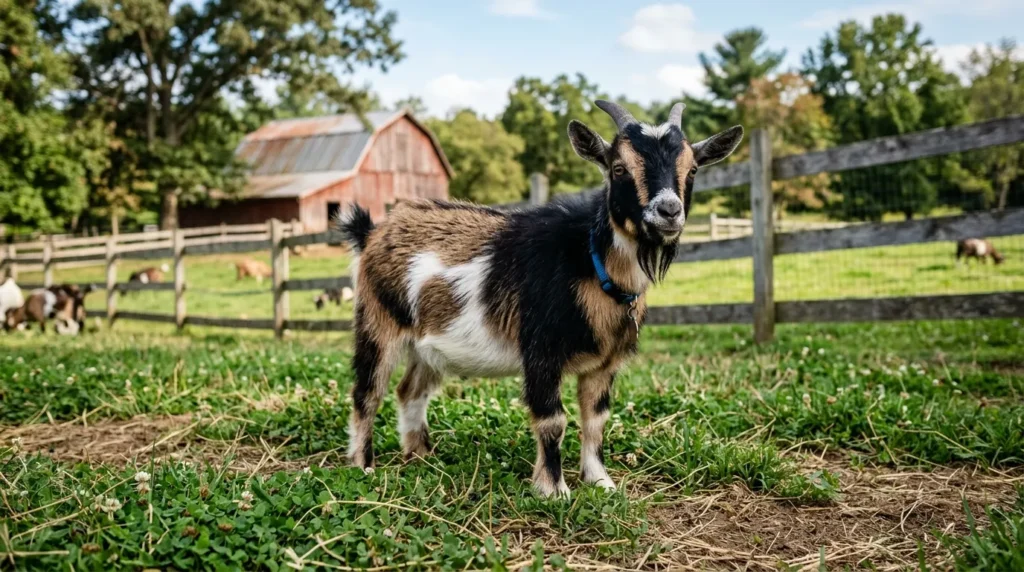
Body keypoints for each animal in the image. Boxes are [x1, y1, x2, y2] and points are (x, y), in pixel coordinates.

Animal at [338, 100, 743, 497]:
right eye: (618, 168)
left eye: (692, 169)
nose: (669, 211)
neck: (590, 262)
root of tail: (372, 232)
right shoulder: (541, 352)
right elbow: (553, 420)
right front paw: (553, 490)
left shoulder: (605, 364)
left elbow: (596, 420)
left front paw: (601, 482)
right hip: (377, 321)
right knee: (366, 392)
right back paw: (363, 465)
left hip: (429, 347)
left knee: (410, 391)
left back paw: (420, 454)